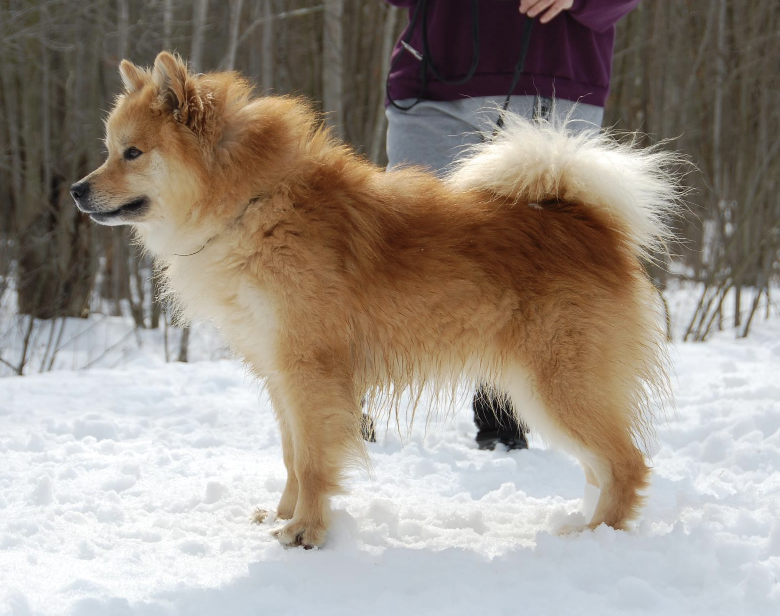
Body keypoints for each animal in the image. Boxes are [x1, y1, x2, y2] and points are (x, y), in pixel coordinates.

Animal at [71, 50, 684, 548]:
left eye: (132, 153)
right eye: (108, 150)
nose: (76, 190)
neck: (252, 204)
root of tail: (588, 223)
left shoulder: (310, 371)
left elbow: (313, 461)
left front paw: (306, 532)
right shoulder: (279, 372)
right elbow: (292, 454)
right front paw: (283, 514)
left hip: (556, 386)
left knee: (626, 464)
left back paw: (594, 537)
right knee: (602, 468)